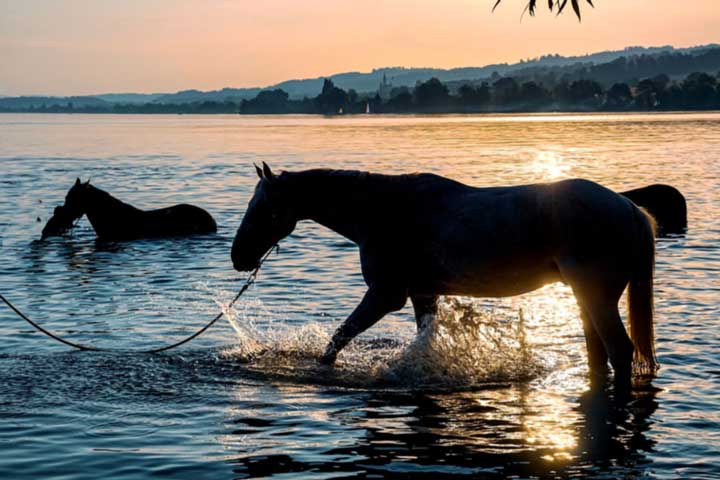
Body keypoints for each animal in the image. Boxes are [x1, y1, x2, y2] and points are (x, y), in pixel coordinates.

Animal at [231, 163, 658, 389]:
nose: (238, 257)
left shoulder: (385, 295)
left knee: (620, 351)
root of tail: (629, 208)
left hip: (596, 296)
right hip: (587, 299)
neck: (384, 212)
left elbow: (338, 340)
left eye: (263, 209)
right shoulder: (422, 294)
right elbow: (424, 339)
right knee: (600, 353)